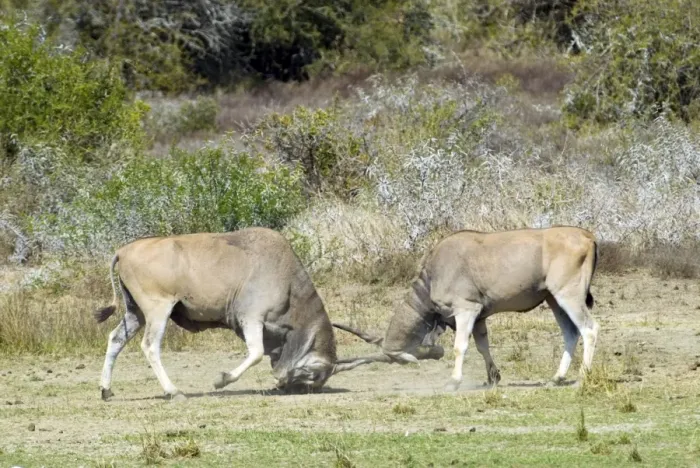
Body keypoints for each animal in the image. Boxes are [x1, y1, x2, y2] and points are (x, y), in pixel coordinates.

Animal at [94, 227, 372, 401]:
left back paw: (106, 390)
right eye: (315, 374)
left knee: (115, 339)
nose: (288, 388)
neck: (287, 279)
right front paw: (221, 380)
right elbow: (257, 353)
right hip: (158, 310)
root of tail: (123, 251)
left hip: (136, 313)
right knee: (150, 346)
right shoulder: (251, 318)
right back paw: (173, 391)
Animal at [333, 226, 600, 391]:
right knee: (571, 333)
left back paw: (582, 378)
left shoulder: (466, 310)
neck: (433, 274)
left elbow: (460, 347)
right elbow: (483, 346)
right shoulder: (479, 316)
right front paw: (493, 378)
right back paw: (557, 378)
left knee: (589, 329)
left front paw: (454, 381)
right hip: (553, 299)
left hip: (568, 295)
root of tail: (587, 236)